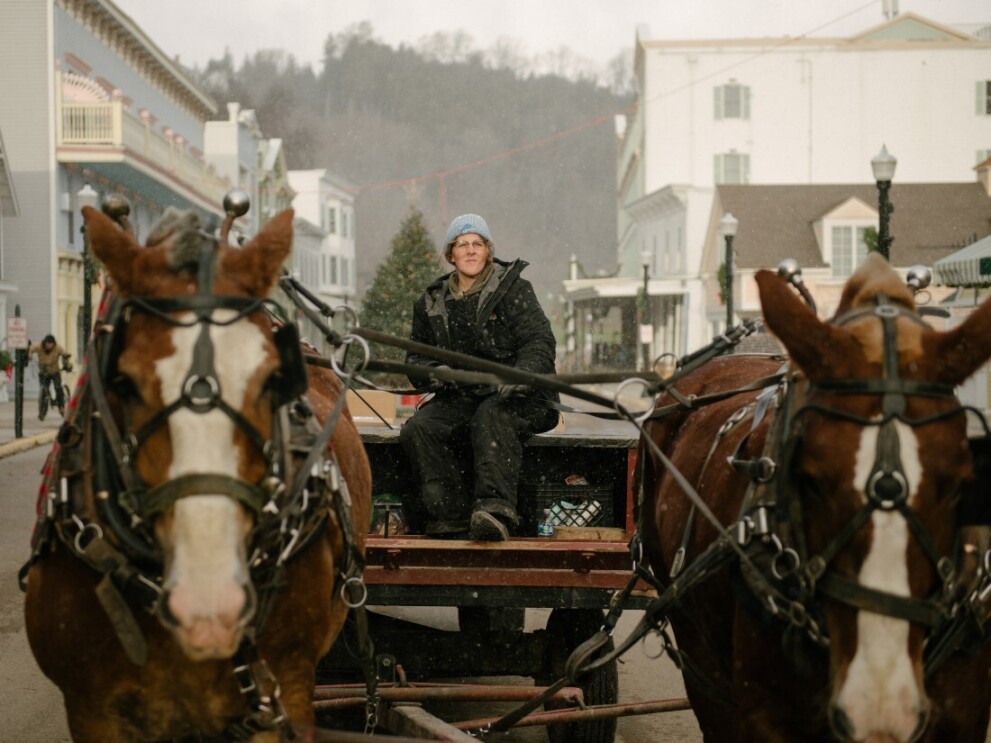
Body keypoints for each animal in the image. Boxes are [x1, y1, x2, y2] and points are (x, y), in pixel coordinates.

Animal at [644, 253, 991, 740]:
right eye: (810, 478)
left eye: (961, 481)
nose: (878, 702)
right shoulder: (765, 714)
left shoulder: (967, 715)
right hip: (698, 657)